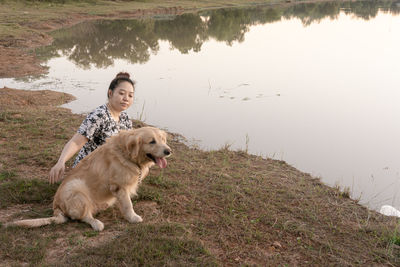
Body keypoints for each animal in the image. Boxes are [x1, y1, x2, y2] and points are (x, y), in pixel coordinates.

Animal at [6, 126, 171, 231]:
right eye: (152, 141)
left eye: (163, 140)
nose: (168, 151)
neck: (127, 154)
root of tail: (56, 207)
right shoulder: (119, 186)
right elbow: (128, 205)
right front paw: (133, 217)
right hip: (78, 188)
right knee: (83, 216)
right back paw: (97, 223)